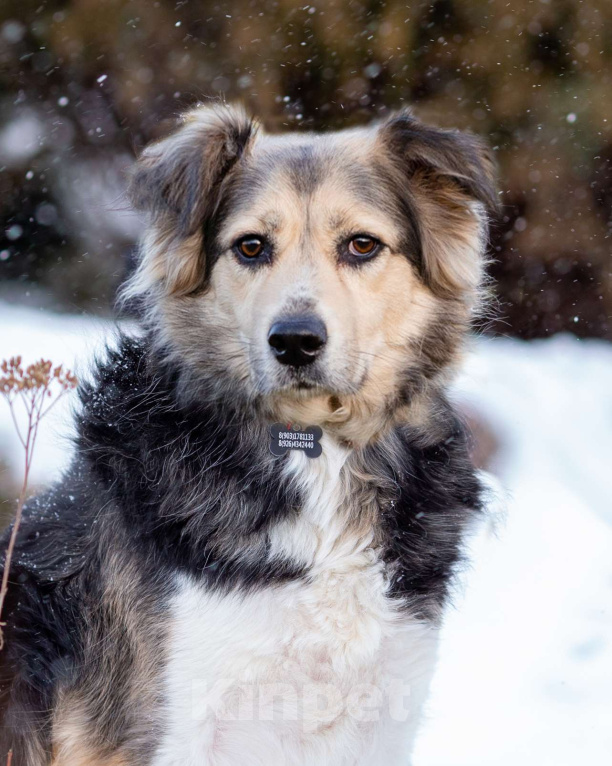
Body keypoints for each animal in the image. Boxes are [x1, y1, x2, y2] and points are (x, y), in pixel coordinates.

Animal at [0, 103, 498, 766]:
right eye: (252, 246)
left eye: (362, 245)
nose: (295, 341)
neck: (314, 452)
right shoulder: (170, 724)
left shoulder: (386, 710)